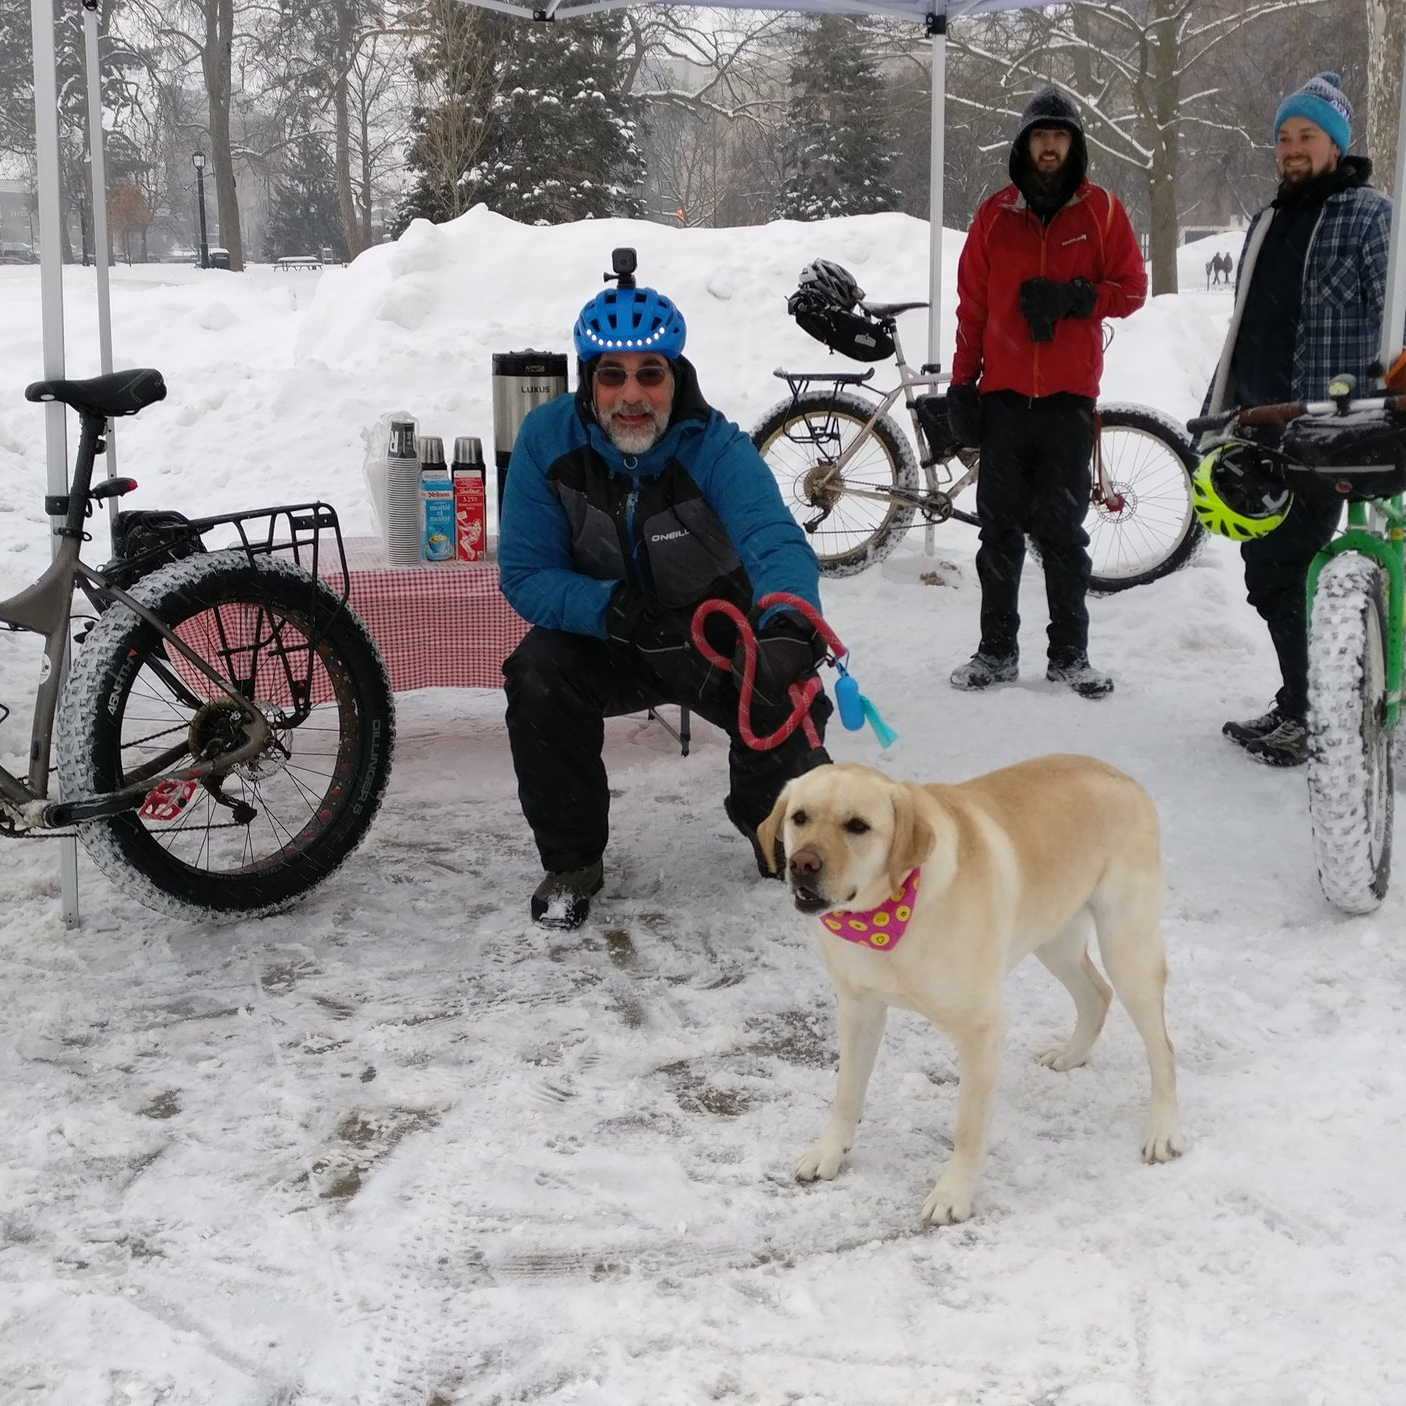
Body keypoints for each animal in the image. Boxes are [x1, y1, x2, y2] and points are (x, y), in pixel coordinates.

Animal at [759, 753, 1186, 1226]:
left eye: (857, 826)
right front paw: (831, 1153)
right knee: (1097, 994)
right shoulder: (858, 1011)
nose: (802, 864)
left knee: (1162, 1048)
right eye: (799, 818)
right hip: (1054, 938)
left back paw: (1163, 1130)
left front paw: (953, 1195)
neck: (887, 916)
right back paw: (1071, 1055)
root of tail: (1119, 774)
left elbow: (966, 1129)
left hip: (1127, 948)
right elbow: (846, 1094)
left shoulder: (982, 1031)